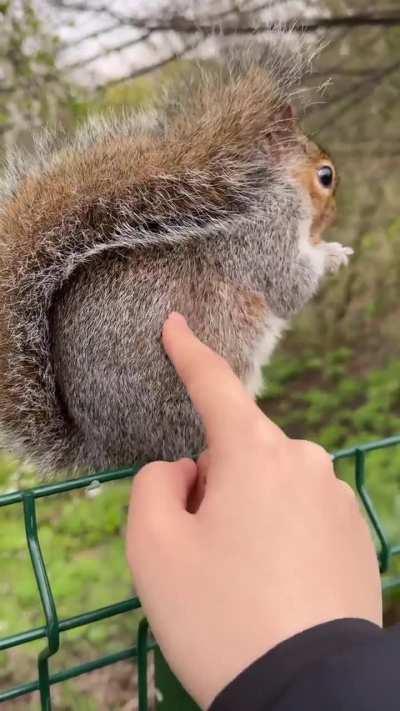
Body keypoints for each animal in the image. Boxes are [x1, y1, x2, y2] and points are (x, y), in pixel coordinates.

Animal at [0, 34, 353, 476]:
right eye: (326, 176)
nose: (335, 213)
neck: (271, 191)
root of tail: (110, 451)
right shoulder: (264, 239)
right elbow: (289, 286)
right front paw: (333, 253)